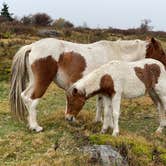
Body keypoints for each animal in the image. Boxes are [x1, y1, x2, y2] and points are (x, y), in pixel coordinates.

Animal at [9, 37, 165, 132]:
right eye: (162, 51)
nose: (163, 64)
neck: (117, 52)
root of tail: (32, 46)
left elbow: (100, 103)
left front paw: (99, 121)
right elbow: (106, 106)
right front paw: (107, 124)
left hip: (33, 81)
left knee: (24, 96)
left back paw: (31, 124)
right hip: (43, 81)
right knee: (32, 100)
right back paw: (36, 127)